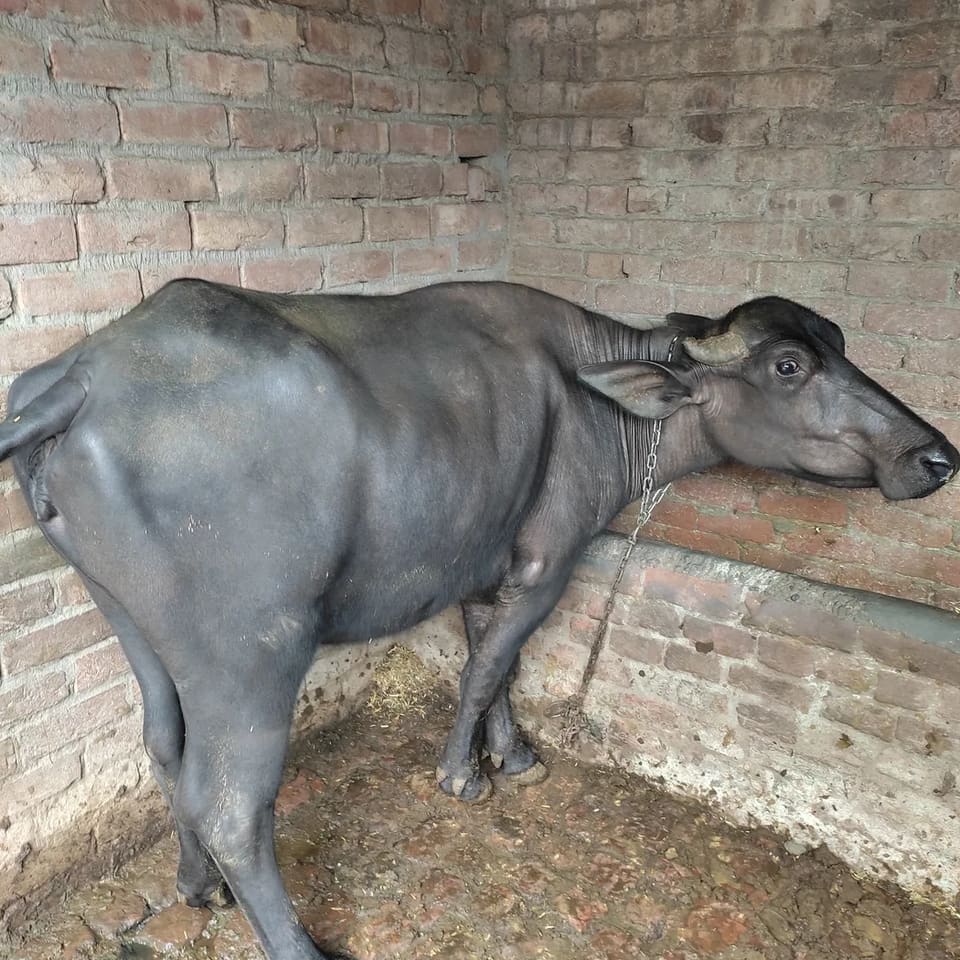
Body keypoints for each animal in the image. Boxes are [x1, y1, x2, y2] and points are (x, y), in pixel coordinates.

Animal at [1, 279, 955, 960]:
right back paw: (295, 941)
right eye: (788, 365)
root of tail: (81, 378)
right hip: (252, 653)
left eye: (841, 346)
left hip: (129, 618)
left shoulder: (476, 565)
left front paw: (512, 753)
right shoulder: (547, 561)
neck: (597, 402)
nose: (935, 455)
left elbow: (492, 660)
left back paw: (200, 888)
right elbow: (490, 665)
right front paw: (465, 774)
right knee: (231, 803)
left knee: (164, 748)